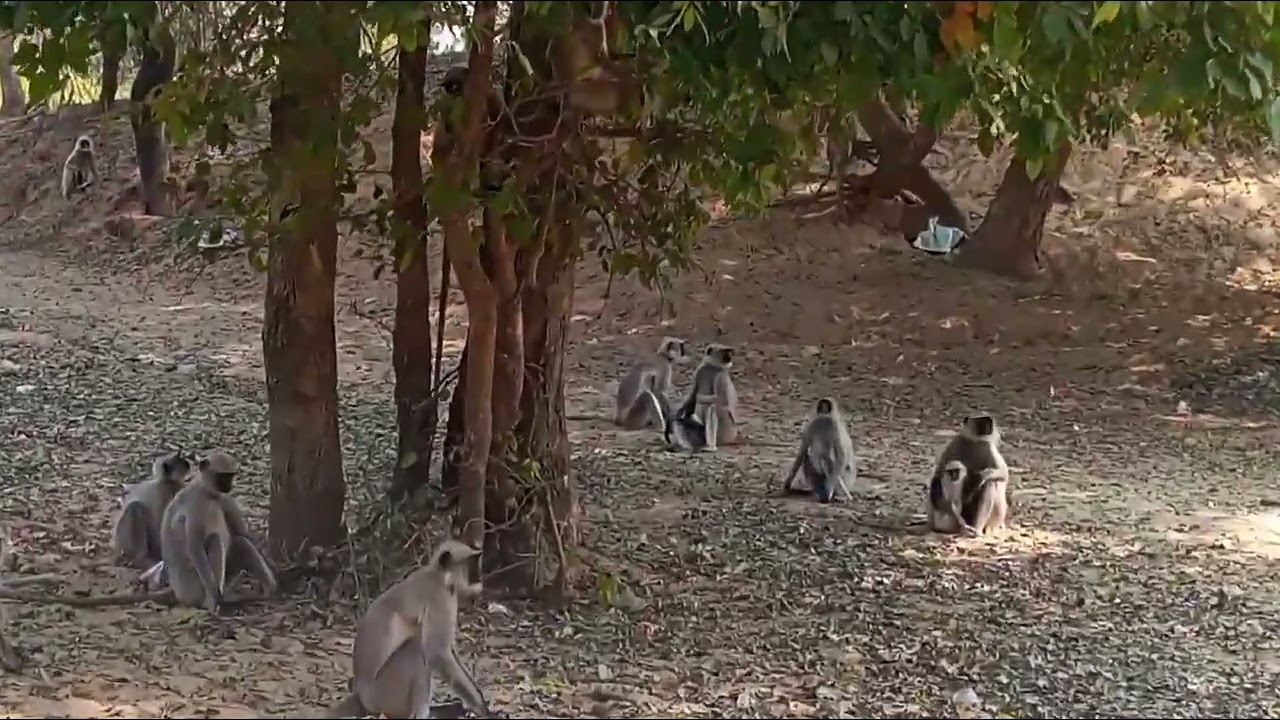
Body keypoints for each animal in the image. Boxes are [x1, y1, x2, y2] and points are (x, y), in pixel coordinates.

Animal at [158, 451, 277, 611]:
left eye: (231, 476)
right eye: (223, 477)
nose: (229, 485)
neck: (207, 491)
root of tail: (178, 592)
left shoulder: (223, 498)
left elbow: (242, 533)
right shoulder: (197, 502)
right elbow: (194, 545)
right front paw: (213, 592)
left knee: (241, 542)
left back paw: (268, 589)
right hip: (193, 586)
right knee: (214, 539)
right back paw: (215, 600)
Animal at [324, 538, 491, 720]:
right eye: (471, 564)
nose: (479, 577)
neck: (438, 576)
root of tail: (362, 695)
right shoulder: (439, 596)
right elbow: (437, 653)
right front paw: (482, 708)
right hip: (386, 694)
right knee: (416, 648)